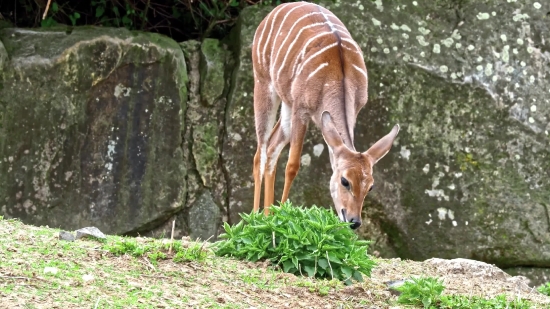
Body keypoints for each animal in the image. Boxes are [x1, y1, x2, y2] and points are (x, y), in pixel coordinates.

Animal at [251, 1, 402, 229]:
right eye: (345, 181)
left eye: (371, 186)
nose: (354, 221)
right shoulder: (301, 109)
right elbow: (293, 165)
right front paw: (284, 217)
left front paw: (277, 216)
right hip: (263, 82)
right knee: (260, 151)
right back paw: (252, 219)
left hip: (286, 102)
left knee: (271, 147)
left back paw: (267, 217)